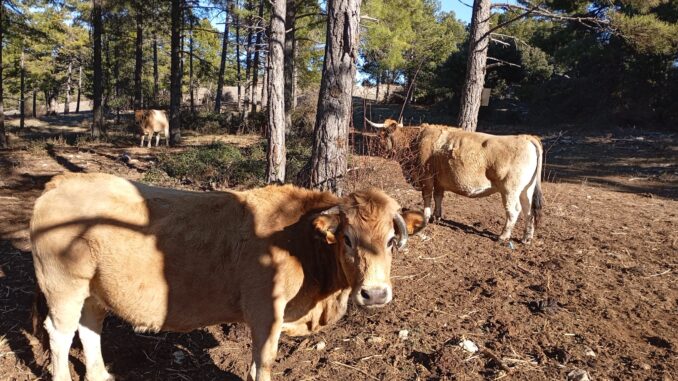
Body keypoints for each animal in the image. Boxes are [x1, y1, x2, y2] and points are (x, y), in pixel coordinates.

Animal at [33, 173, 424, 380]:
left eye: (391, 240)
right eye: (347, 238)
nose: (375, 294)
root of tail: (65, 180)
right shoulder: (266, 311)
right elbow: (263, 362)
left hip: (93, 289)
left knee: (89, 327)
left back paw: (100, 374)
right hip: (63, 286)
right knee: (60, 334)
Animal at [366, 119, 548, 242]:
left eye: (380, 135)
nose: (370, 148)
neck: (415, 141)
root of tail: (526, 138)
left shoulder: (426, 178)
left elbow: (427, 197)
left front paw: (426, 217)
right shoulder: (439, 181)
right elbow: (438, 197)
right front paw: (437, 217)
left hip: (510, 190)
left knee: (514, 211)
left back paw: (503, 236)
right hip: (526, 190)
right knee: (529, 211)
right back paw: (526, 237)